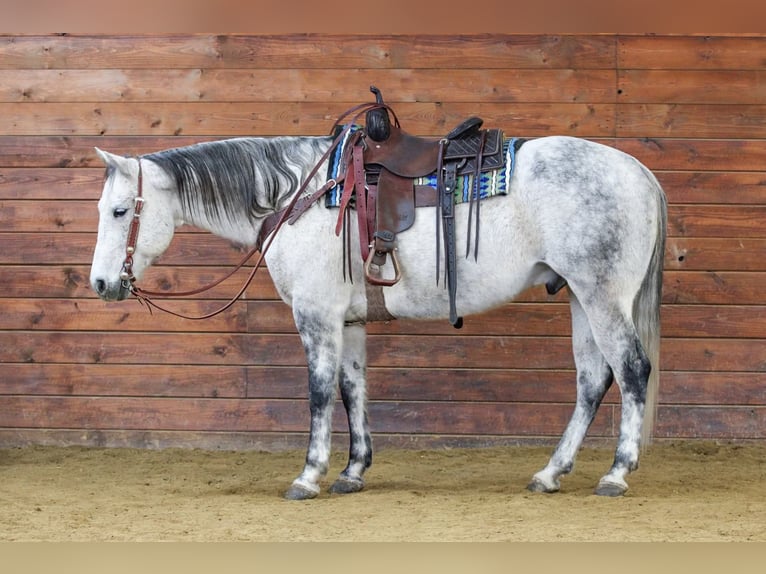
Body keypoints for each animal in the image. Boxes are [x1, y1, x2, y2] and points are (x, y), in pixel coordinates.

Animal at [90, 115, 667, 499]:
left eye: (119, 211)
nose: (100, 283)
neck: (297, 196)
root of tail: (637, 170)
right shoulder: (348, 320)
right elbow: (353, 390)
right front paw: (352, 471)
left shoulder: (316, 316)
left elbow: (320, 393)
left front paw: (309, 475)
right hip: (579, 295)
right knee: (592, 380)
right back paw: (551, 472)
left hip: (601, 295)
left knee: (632, 369)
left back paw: (616, 472)